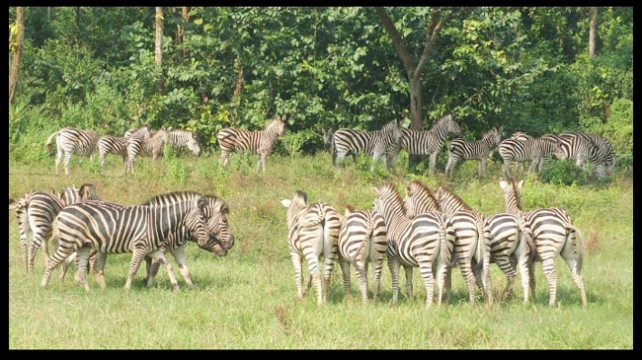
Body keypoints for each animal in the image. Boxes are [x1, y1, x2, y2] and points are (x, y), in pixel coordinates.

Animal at [40, 194, 210, 292]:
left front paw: (176, 287)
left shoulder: (154, 250)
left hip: (84, 246)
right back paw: (44, 286)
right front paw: (127, 288)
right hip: (68, 242)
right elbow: (133, 268)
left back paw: (88, 290)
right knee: (52, 262)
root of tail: (62, 211)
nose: (205, 241)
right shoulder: (140, 247)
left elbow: (168, 266)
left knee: (81, 269)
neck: (157, 221)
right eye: (202, 219)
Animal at [496, 178, 584, 306]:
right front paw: (534, 299)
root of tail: (564, 220)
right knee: (577, 272)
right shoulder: (531, 260)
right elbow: (532, 279)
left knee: (552, 276)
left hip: (546, 251)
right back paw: (584, 302)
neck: (515, 210)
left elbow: (512, 276)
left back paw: (551, 304)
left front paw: (509, 298)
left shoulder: (514, 257)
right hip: (570, 250)